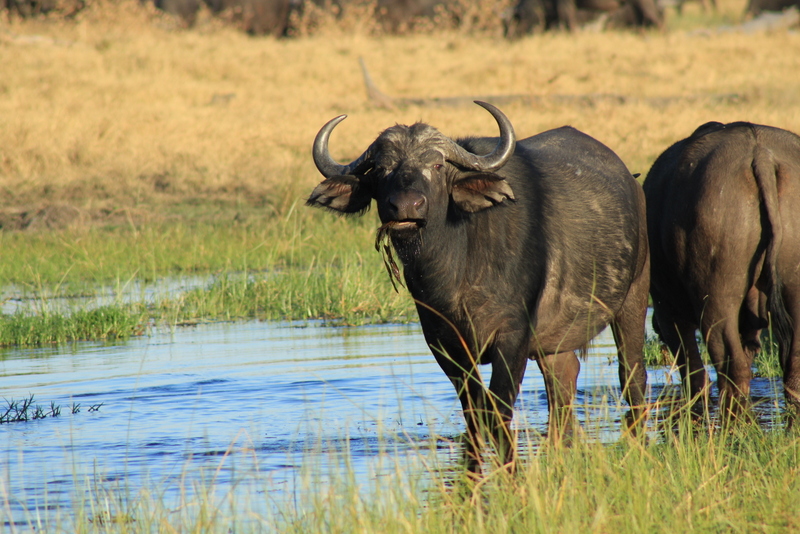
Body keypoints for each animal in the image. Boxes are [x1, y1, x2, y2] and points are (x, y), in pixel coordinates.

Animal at [307, 102, 649, 473]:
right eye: (382, 169)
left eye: (437, 165)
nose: (406, 206)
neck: (456, 272)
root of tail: (631, 181)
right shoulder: (443, 344)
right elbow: (473, 412)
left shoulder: (512, 338)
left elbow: (497, 411)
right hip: (555, 344)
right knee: (563, 383)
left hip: (634, 296)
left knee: (632, 374)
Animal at [643, 121, 800, 424]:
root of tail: (761, 155)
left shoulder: (666, 309)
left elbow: (692, 369)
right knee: (792, 366)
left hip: (716, 300)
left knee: (729, 364)